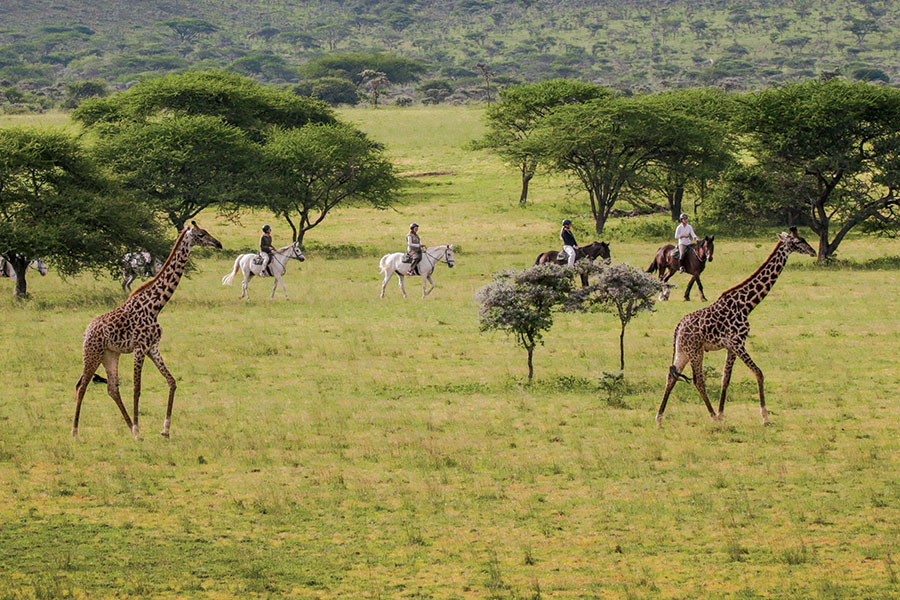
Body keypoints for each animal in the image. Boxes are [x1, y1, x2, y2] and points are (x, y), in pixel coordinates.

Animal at [72, 223, 223, 438]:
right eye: (201, 234)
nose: (218, 244)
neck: (156, 306)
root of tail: (86, 331)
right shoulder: (140, 348)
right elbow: (137, 389)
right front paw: (140, 428)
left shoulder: (153, 348)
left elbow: (172, 381)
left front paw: (165, 429)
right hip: (92, 353)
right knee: (82, 385)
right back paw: (76, 433)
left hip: (110, 355)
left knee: (112, 388)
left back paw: (130, 429)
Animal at [652, 227, 816, 428]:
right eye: (799, 241)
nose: (813, 251)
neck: (746, 305)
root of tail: (677, 327)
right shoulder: (738, 343)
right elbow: (759, 373)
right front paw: (765, 417)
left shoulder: (731, 346)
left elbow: (726, 378)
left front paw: (723, 413)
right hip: (695, 351)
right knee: (698, 380)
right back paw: (712, 415)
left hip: (683, 351)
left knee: (672, 376)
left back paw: (659, 419)